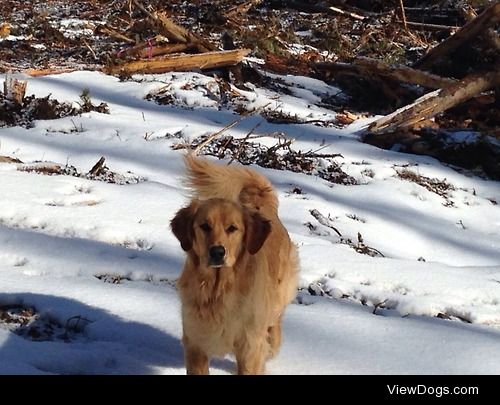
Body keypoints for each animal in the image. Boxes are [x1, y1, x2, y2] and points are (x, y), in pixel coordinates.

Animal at [172, 153, 296, 374]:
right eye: (205, 226)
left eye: (232, 228)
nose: (217, 252)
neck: (218, 289)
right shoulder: (196, 343)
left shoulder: (249, 347)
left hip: (279, 294)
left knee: (276, 320)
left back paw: (273, 340)